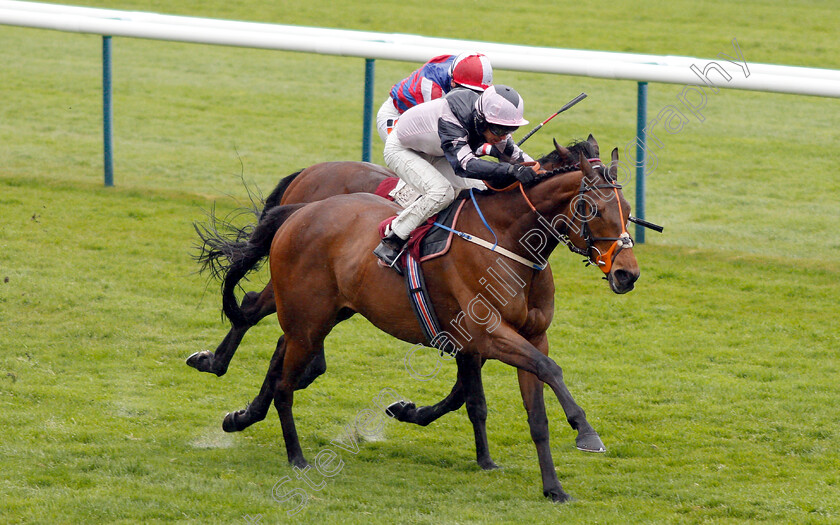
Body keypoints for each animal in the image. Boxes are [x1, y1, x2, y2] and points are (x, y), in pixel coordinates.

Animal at [223, 149, 636, 502]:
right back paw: (293, 453)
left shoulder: (529, 337)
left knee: (278, 350)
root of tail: (300, 211)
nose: (627, 274)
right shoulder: (489, 336)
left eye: (628, 210)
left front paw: (552, 488)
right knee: (278, 369)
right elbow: (545, 371)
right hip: (307, 319)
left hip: (327, 314)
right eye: (593, 209)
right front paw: (586, 432)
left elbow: (529, 413)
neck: (509, 241)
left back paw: (242, 414)